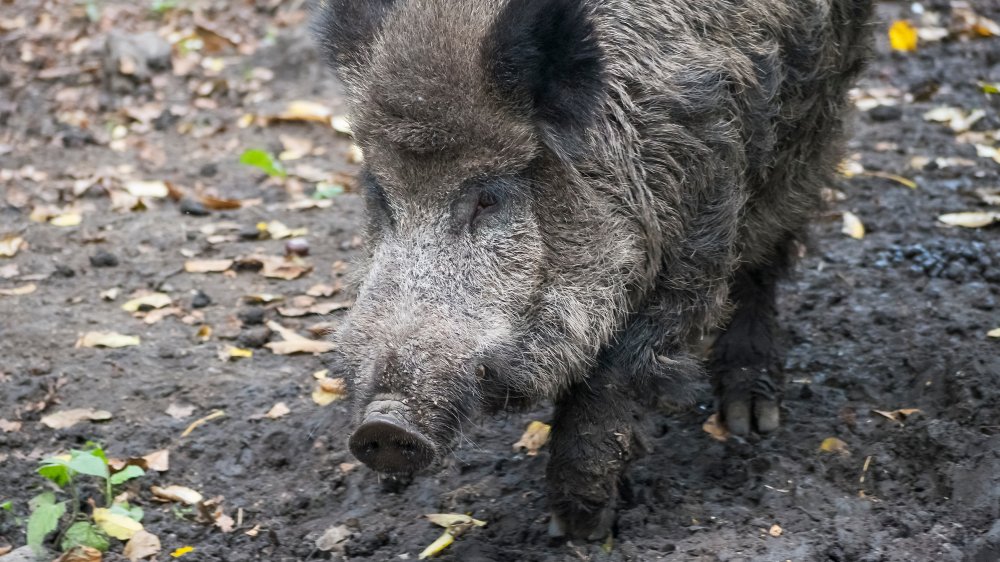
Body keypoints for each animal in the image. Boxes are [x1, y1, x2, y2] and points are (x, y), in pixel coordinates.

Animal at [315, 0, 874, 539]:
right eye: (382, 197)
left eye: (487, 198)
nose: (383, 428)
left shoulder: (698, 232)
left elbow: (614, 372)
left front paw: (577, 527)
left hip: (812, 120)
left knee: (767, 249)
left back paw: (749, 423)